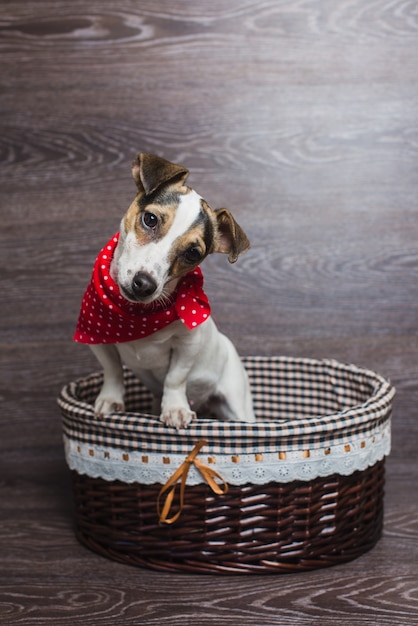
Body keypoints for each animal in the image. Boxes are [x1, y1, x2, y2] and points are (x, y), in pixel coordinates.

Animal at [74, 152, 255, 426]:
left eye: (193, 253)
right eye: (150, 219)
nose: (144, 285)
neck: (136, 316)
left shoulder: (187, 345)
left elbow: (175, 378)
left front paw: (175, 408)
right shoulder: (96, 337)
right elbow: (112, 370)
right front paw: (110, 400)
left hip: (238, 405)